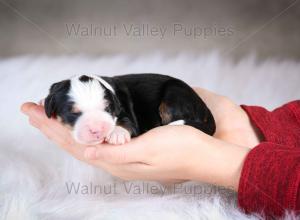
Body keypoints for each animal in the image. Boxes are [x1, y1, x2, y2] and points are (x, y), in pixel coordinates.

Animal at [42, 74, 216, 145]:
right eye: (74, 113)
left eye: (107, 109)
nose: (97, 130)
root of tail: (204, 107)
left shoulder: (125, 110)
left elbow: (126, 121)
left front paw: (117, 134)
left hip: (174, 94)